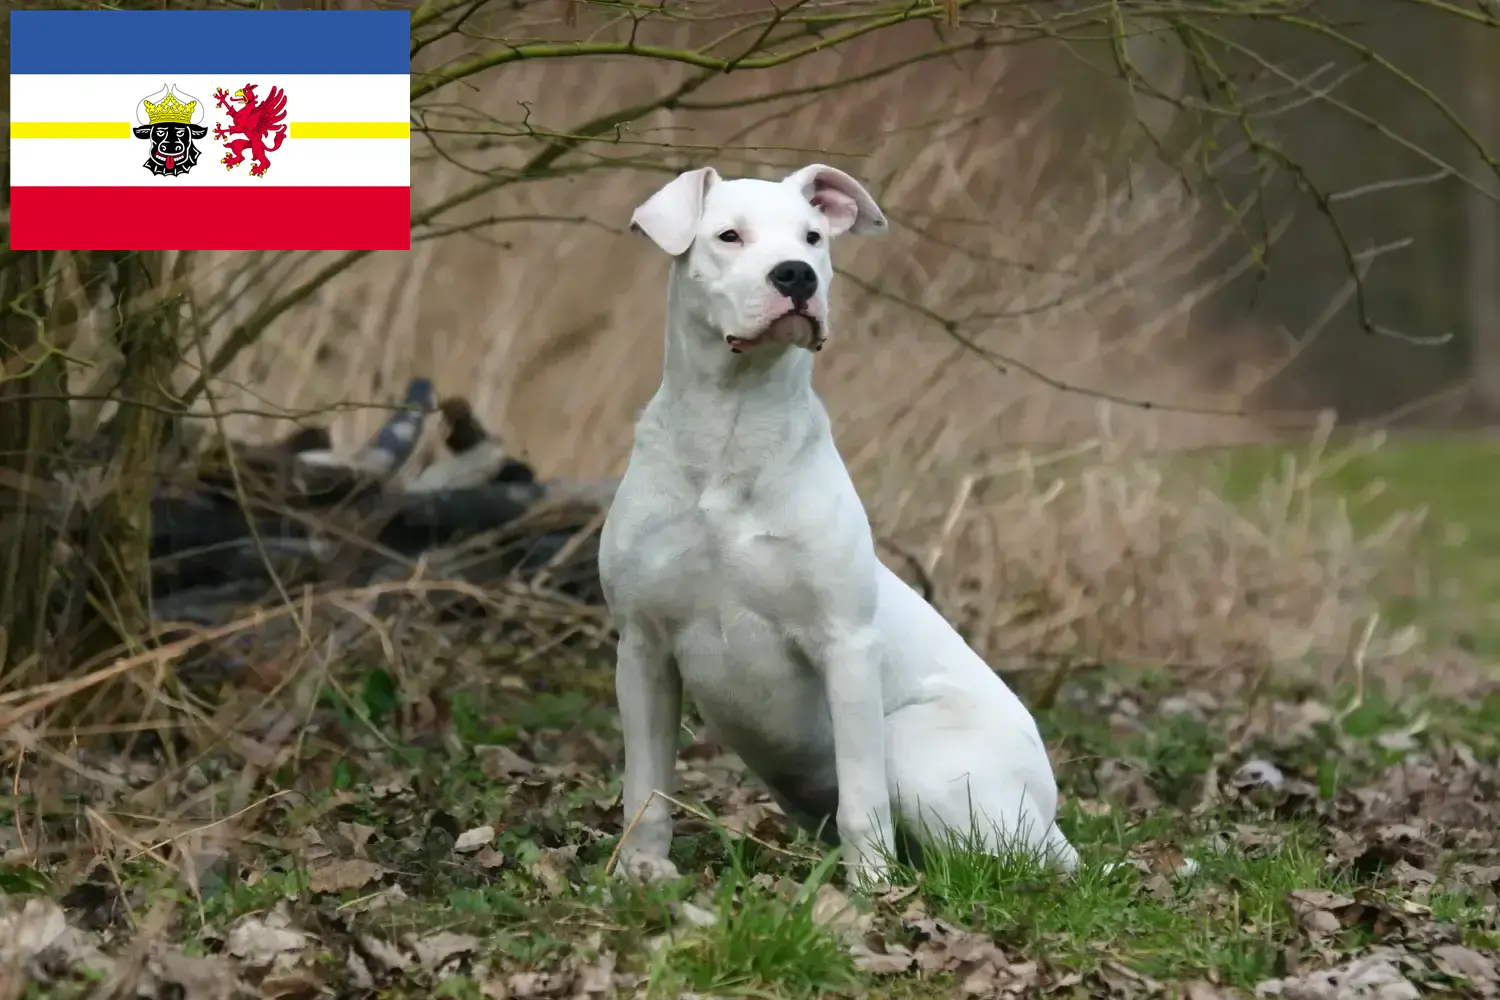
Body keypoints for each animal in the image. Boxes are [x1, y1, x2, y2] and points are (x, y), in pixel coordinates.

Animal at [597, 162, 1080, 881]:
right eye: (729, 236)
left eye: (814, 237)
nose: (797, 276)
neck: (733, 428)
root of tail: (1048, 812)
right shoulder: (644, 649)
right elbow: (646, 785)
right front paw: (643, 871)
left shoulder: (844, 645)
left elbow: (861, 797)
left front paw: (871, 886)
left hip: (917, 751)